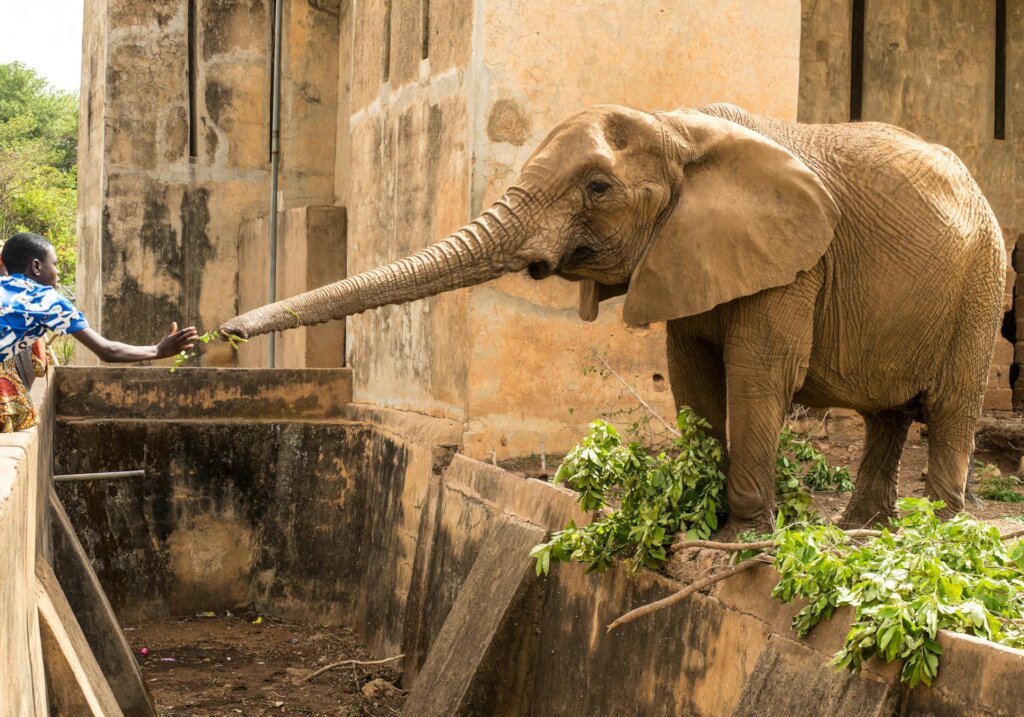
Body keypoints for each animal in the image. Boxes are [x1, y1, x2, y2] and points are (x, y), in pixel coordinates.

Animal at [220, 103, 1006, 536]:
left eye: (598, 188)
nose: (217, 336)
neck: (678, 126)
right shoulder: (690, 252)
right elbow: (692, 377)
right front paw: (694, 517)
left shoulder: (798, 264)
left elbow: (758, 376)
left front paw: (739, 542)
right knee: (888, 414)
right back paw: (861, 529)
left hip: (983, 282)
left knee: (950, 404)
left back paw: (935, 536)